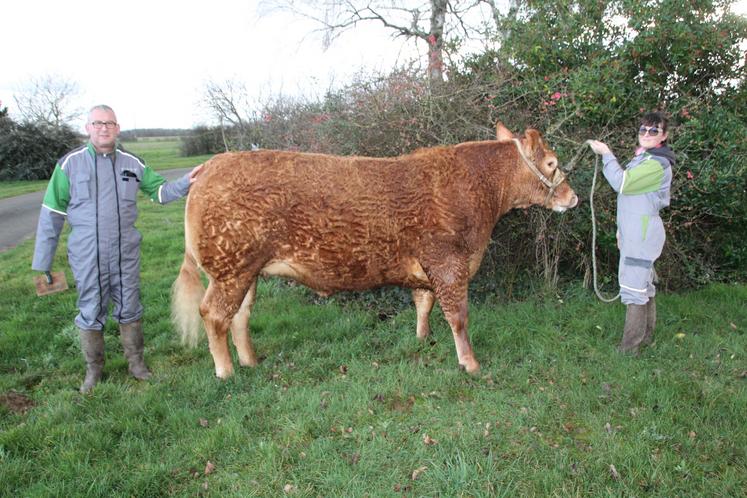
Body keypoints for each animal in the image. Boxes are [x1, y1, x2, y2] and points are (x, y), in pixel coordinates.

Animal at [174, 123, 580, 378]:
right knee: (213, 314)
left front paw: (422, 339)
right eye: (551, 163)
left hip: (246, 271)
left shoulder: (426, 269)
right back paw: (226, 372)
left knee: (240, 316)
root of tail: (210, 165)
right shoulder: (449, 263)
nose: (573, 197)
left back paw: (250, 361)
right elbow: (458, 316)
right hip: (230, 269)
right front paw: (470, 364)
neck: (479, 190)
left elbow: (423, 304)